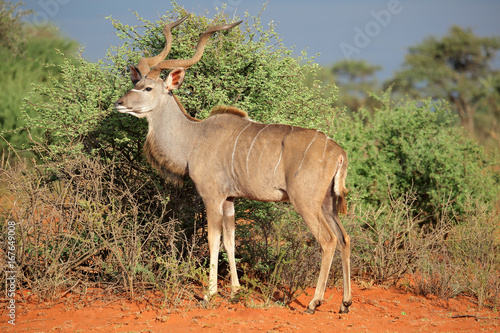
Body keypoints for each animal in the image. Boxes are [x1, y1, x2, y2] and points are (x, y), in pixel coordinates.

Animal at [115, 16, 354, 314]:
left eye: (147, 88)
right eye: (134, 83)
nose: (119, 103)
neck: (194, 138)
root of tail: (338, 151)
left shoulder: (212, 196)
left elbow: (213, 239)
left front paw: (210, 294)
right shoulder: (230, 199)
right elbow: (230, 241)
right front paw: (235, 292)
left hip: (306, 202)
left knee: (328, 240)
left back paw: (314, 302)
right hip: (327, 203)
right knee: (344, 239)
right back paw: (345, 303)